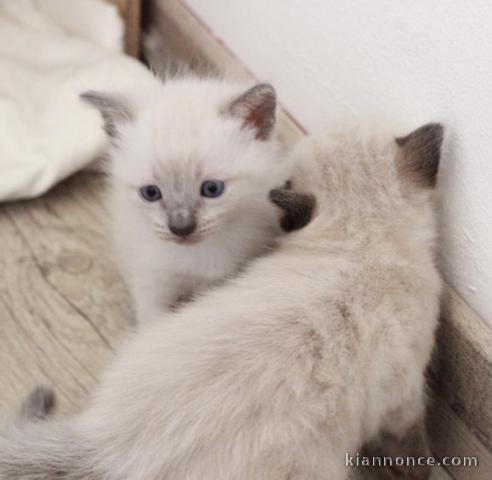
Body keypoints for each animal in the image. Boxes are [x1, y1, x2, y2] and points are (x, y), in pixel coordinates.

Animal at [81, 76, 292, 322]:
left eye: (212, 189)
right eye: (150, 193)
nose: (181, 228)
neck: (201, 255)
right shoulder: (152, 283)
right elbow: (155, 327)